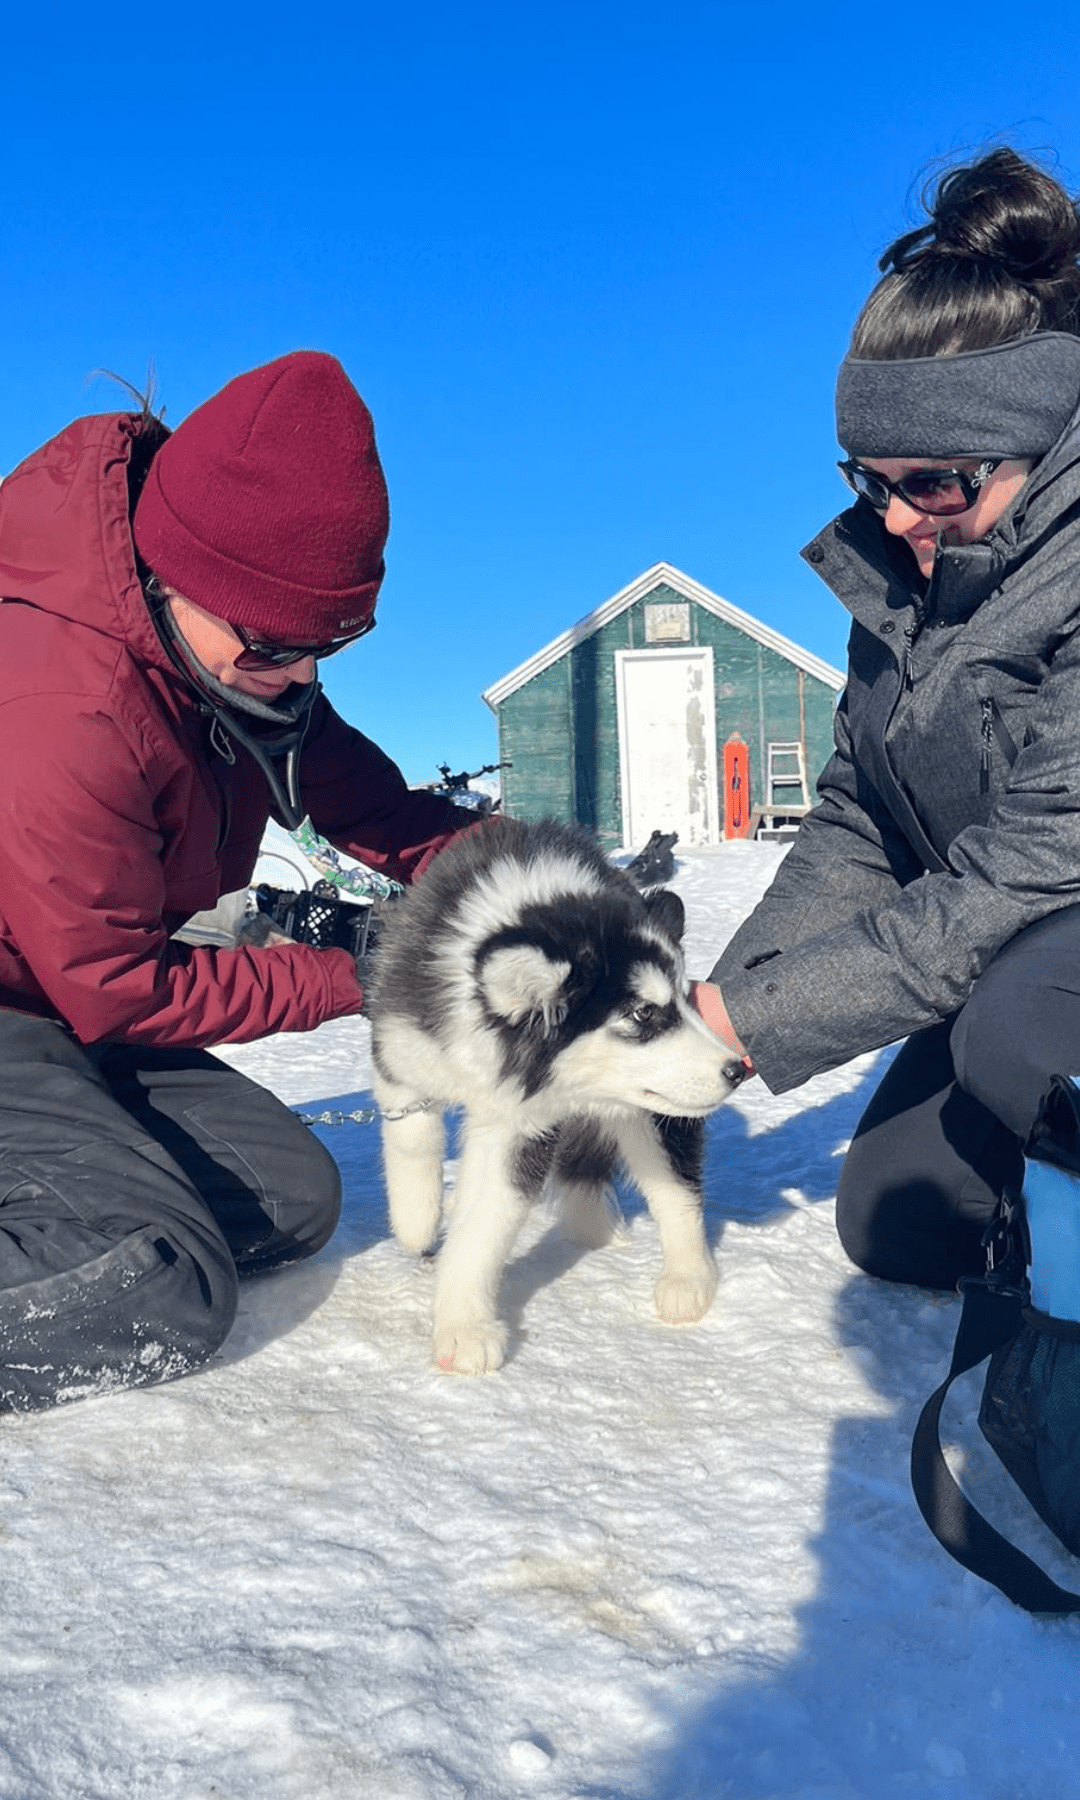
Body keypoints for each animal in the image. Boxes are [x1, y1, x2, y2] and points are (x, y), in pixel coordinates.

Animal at [367, 820, 745, 1375]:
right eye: (643, 1014)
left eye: (682, 1001)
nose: (737, 1069)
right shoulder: (402, 1048)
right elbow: (412, 1134)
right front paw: (416, 1220)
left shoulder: (519, 1129)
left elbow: (483, 1227)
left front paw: (463, 1327)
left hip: (652, 1108)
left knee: (675, 1190)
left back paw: (686, 1276)